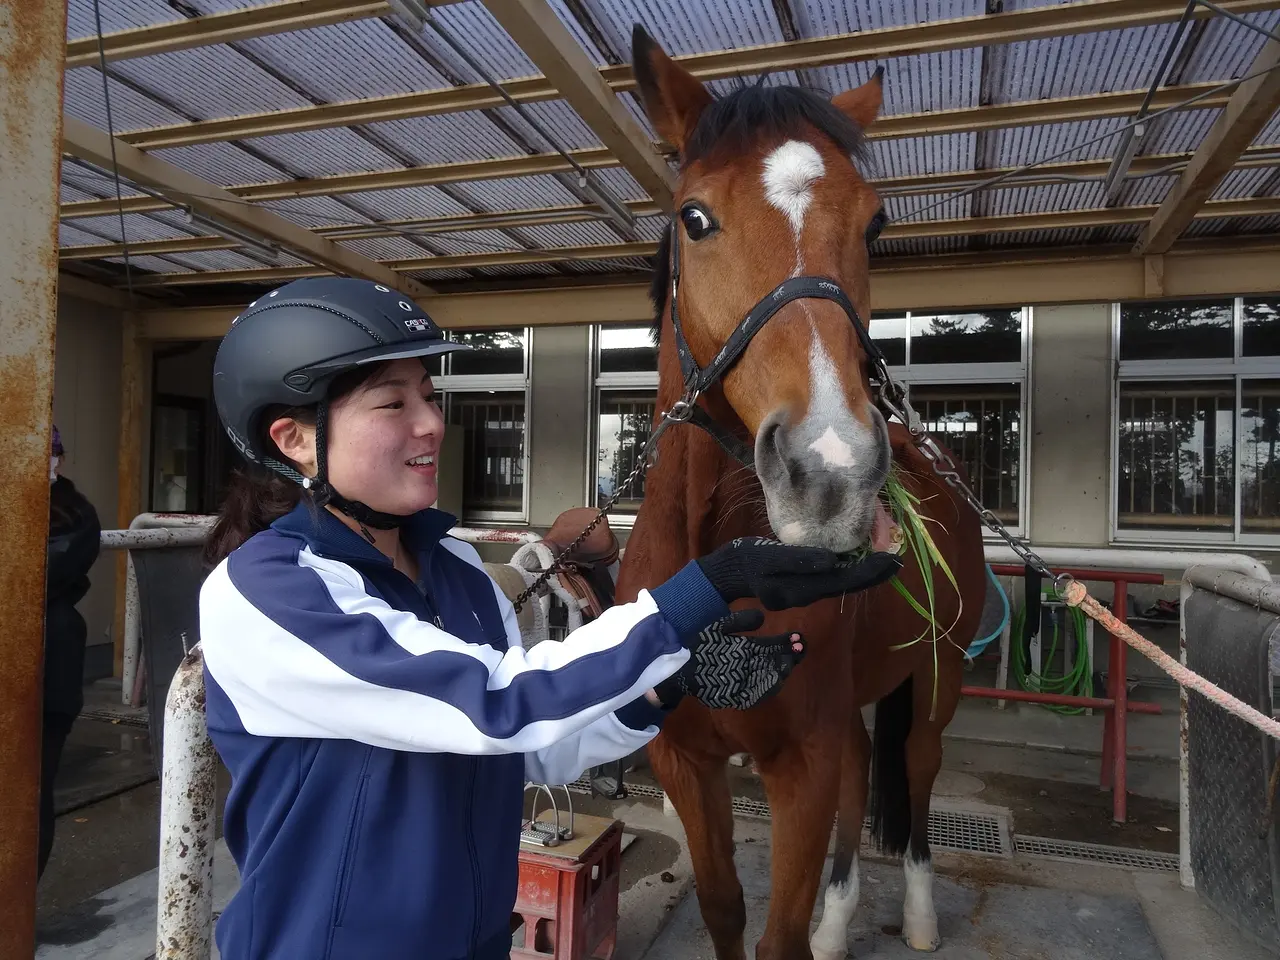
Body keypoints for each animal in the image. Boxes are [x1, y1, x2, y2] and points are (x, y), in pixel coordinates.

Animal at [611, 26, 988, 957]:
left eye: (875, 222)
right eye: (695, 218)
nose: (831, 471)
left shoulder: (800, 769)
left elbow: (776, 936)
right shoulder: (684, 759)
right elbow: (722, 907)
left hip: (939, 678)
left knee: (916, 770)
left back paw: (917, 914)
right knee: (862, 771)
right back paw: (841, 918)